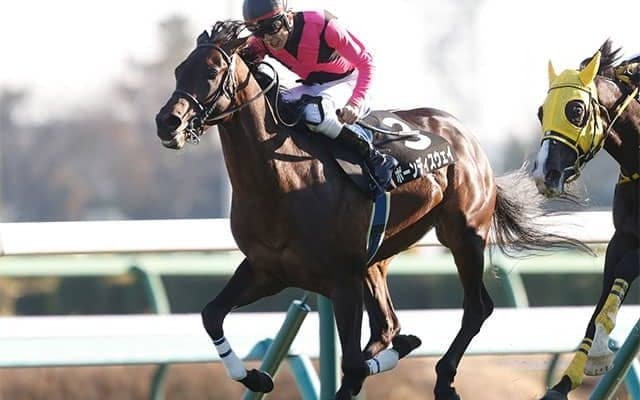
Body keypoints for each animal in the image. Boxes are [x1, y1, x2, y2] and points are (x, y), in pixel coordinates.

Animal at [155, 20, 585, 400]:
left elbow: (351, 365)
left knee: (475, 307)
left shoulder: (341, 281)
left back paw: (444, 379)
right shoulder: (266, 270)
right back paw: (404, 346)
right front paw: (256, 376)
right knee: (387, 327)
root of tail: (463, 134)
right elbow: (211, 314)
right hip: (378, 258)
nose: (167, 122)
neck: (280, 180)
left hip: (463, 234)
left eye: (212, 71)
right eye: (178, 70)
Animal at [532, 39, 639, 400]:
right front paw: (565, 381)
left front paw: (600, 352)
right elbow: (598, 307)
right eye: (540, 112)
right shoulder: (622, 238)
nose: (544, 174)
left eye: (575, 110)